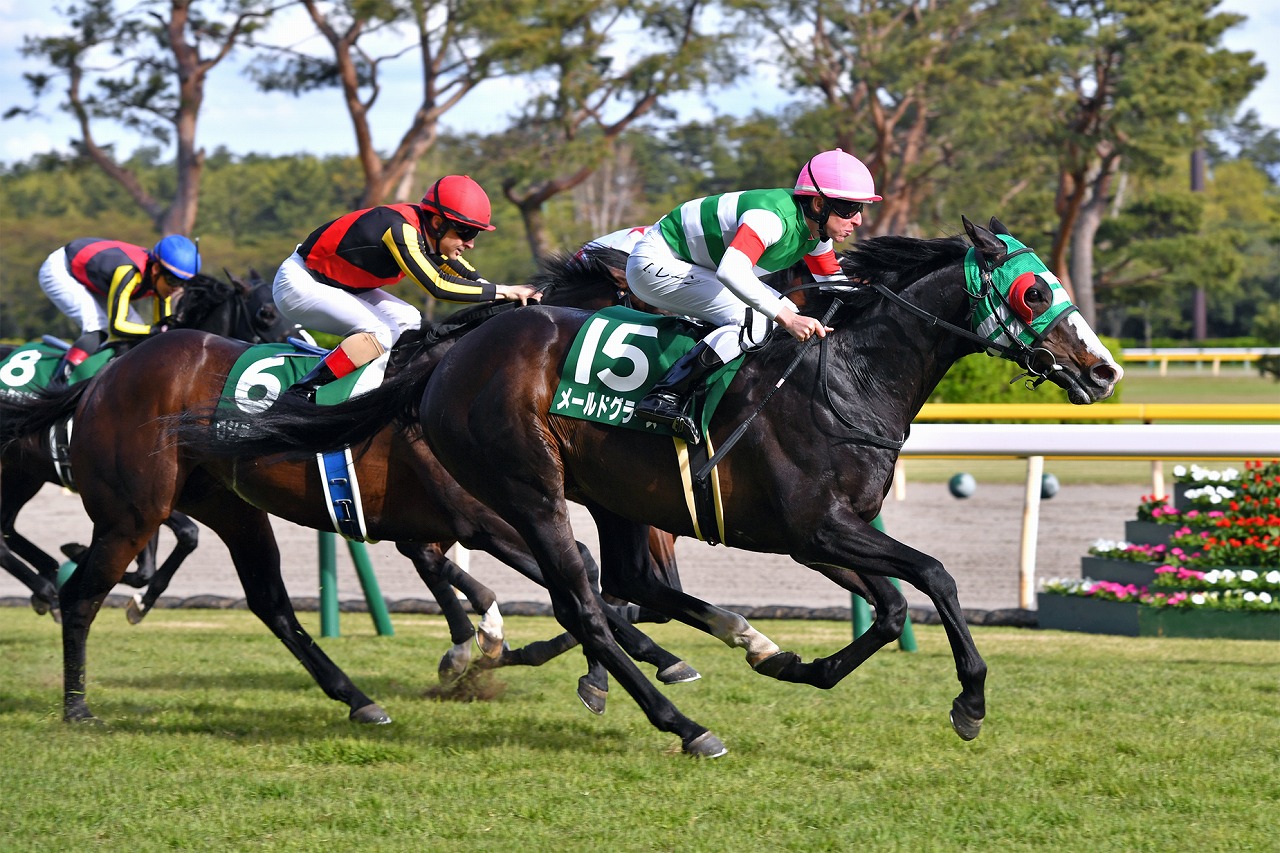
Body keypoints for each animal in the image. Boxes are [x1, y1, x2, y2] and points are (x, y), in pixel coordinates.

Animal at [194, 217, 1126, 753]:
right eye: (1034, 289)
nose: (1104, 370)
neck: (846, 376)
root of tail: (448, 355)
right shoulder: (814, 526)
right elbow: (933, 575)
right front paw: (970, 701)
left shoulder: (826, 531)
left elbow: (895, 604)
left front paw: (802, 663)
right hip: (529, 488)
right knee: (582, 598)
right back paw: (682, 724)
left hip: (608, 496)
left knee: (622, 584)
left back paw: (729, 645)